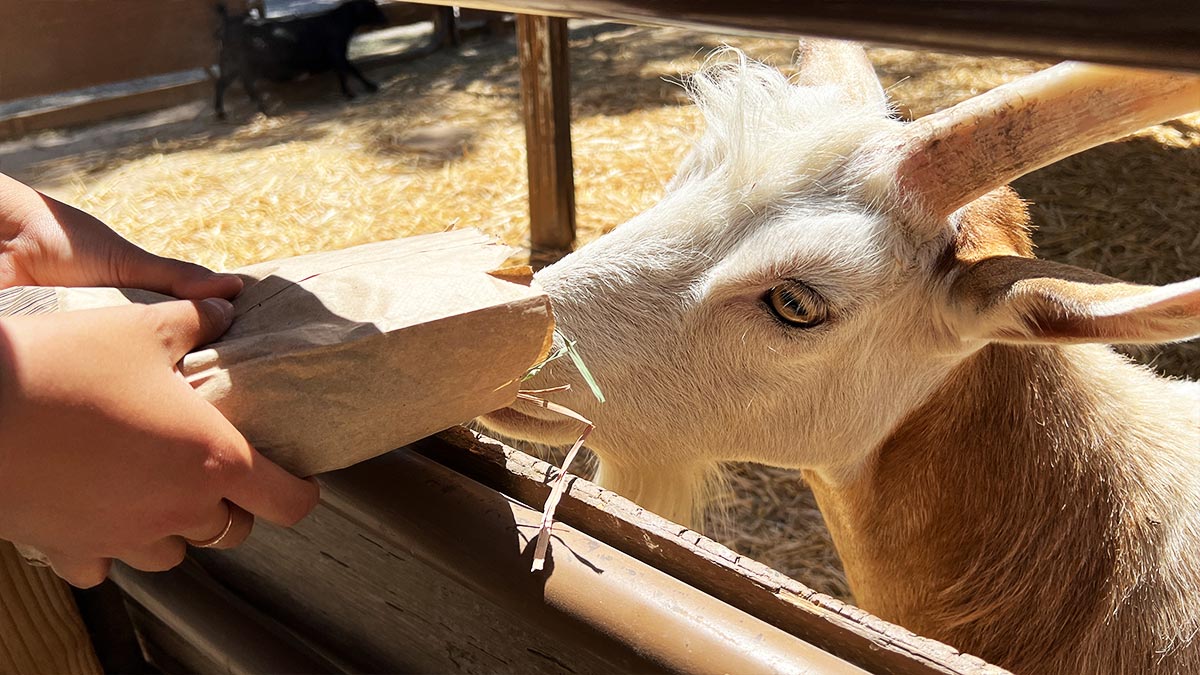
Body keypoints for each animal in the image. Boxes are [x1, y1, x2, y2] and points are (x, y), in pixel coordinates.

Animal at [214, 0, 388, 119]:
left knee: (222, 84)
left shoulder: (337, 58)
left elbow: (343, 73)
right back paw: (265, 111)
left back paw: (222, 114)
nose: (385, 18)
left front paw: (349, 93)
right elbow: (352, 70)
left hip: (232, 65)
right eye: (371, 6)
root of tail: (230, 22)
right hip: (246, 67)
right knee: (246, 86)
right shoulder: (338, 55)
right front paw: (370, 87)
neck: (337, 23)